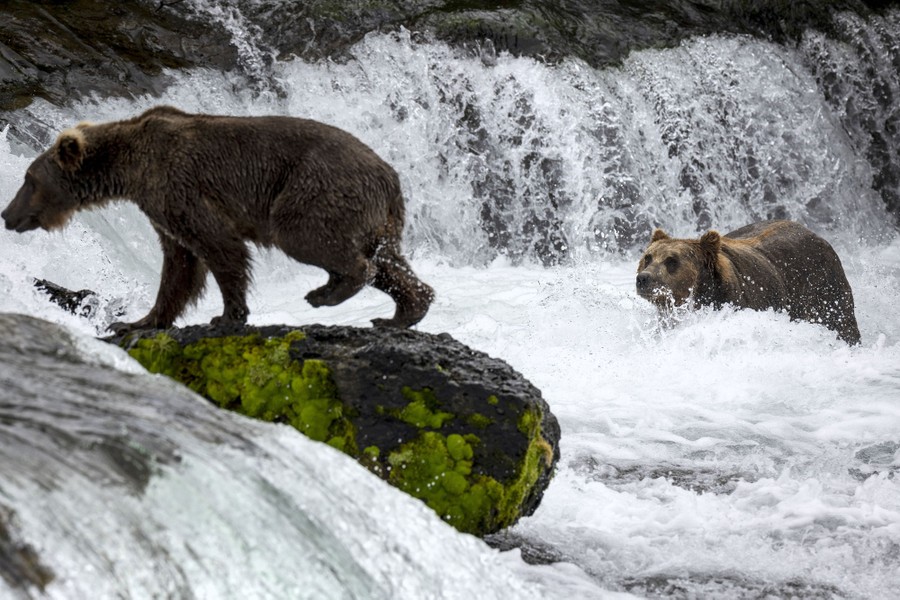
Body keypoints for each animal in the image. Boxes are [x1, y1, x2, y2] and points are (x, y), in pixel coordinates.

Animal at [1, 106, 434, 332]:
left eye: (28, 179)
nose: (6, 214)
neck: (132, 170)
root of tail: (390, 175)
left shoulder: (179, 187)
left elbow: (219, 247)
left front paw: (227, 315)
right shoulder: (162, 210)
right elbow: (180, 266)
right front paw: (139, 321)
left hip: (315, 188)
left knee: (312, 237)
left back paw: (325, 292)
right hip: (375, 216)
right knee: (389, 261)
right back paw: (403, 313)